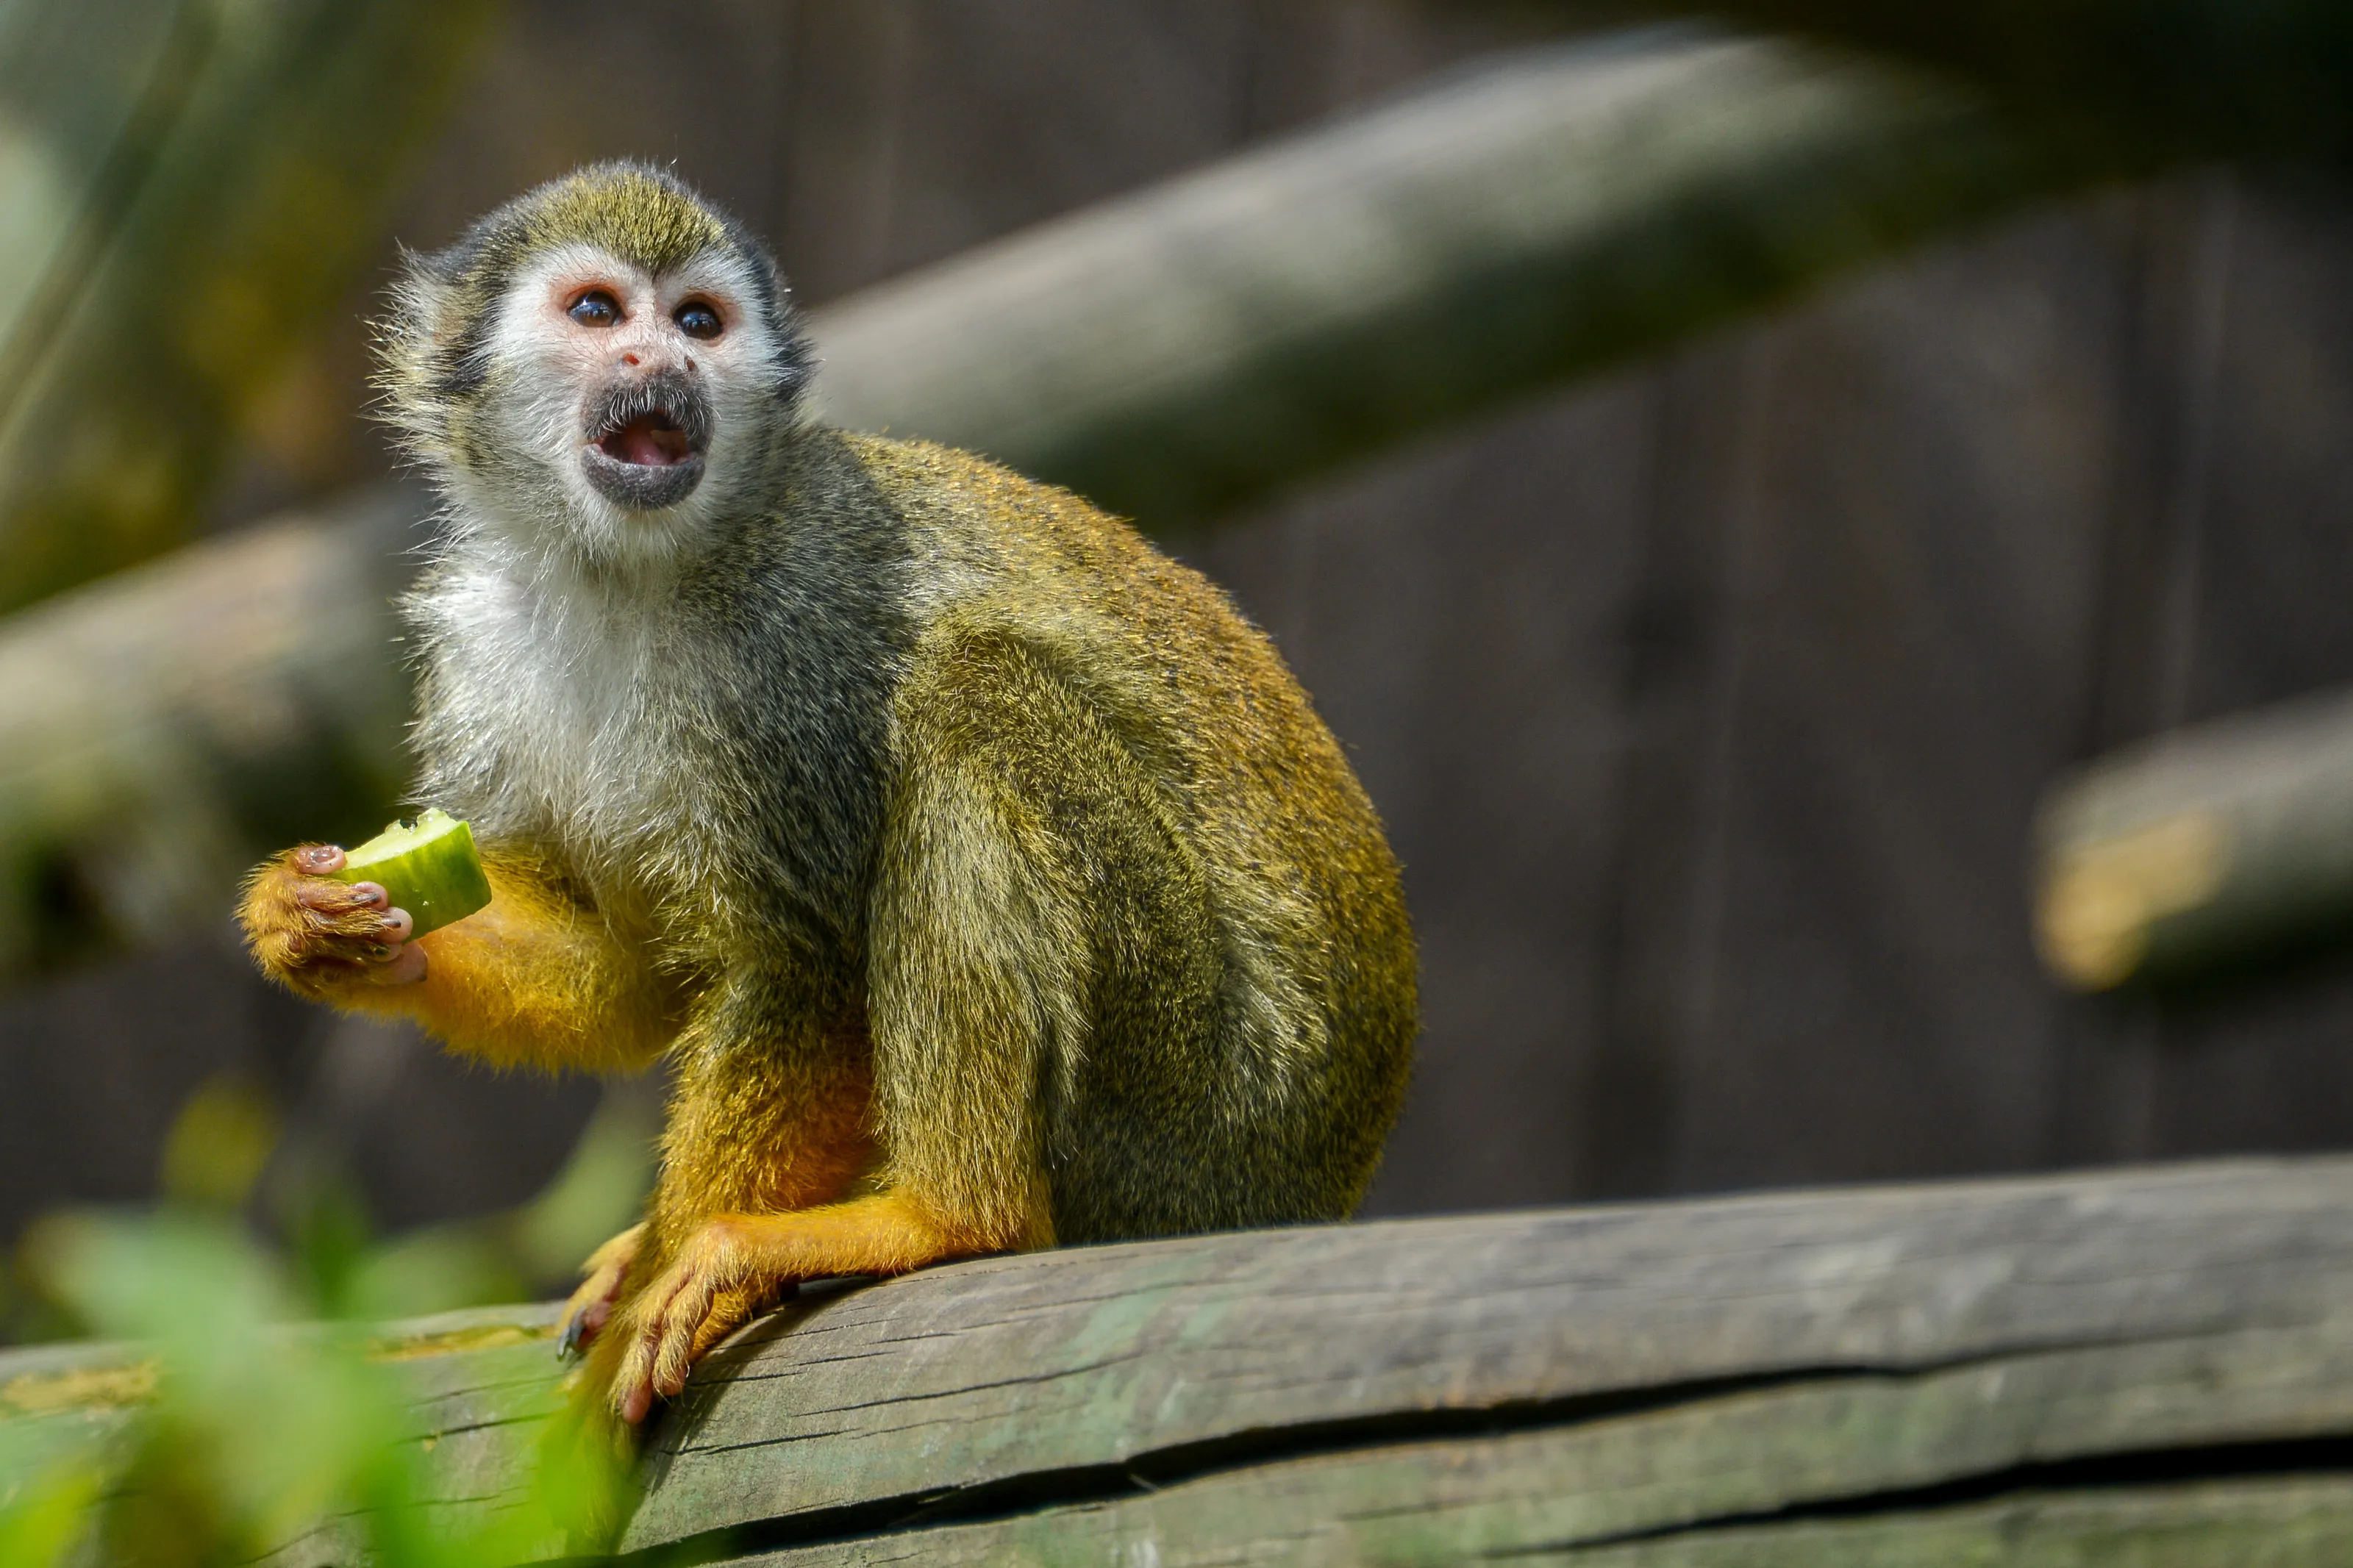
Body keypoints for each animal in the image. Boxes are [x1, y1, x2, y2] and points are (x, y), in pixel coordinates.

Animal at [238, 162, 1416, 1427]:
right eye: (600, 312)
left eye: (700, 321)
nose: (662, 358)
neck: (629, 569)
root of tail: (1318, 1184)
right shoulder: (480, 642)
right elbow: (631, 980)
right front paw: (321, 926)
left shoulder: (800, 640)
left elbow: (811, 970)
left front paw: (665, 1280)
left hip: (1202, 1105)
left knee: (976, 695)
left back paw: (947, 1215)